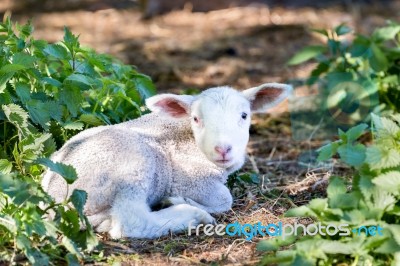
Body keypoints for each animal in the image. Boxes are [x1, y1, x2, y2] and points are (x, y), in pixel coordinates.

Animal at [41, 82, 290, 239]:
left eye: (244, 115)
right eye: (196, 119)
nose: (223, 149)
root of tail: (54, 200)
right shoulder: (191, 179)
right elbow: (224, 198)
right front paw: (183, 201)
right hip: (132, 165)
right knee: (130, 221)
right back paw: (191, 215)